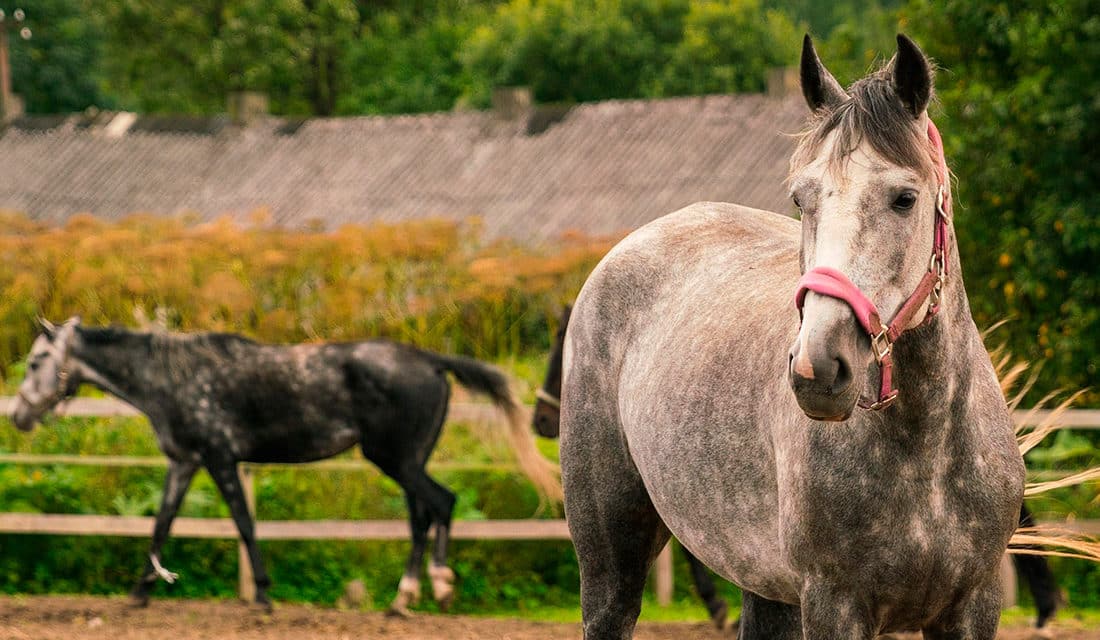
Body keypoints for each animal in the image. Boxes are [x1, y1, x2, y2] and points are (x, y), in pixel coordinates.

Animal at [8, 318, 558, 615]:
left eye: (35, 362)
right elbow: (161, 525)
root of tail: (430, 360)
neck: (173, 379)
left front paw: (264, 597)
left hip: (396, 460)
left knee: (441, 504)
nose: (17, 416)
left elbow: (244, 524)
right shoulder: (185, 463)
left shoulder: (220, 459)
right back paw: (404, 600)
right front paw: (139, 593)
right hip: (404, 463)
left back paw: (435, 591)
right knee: (422, 518)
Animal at [563, 36, 1025, 640]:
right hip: (610, 559)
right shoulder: (833, 602)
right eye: (800, 199)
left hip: (764, 583)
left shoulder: (973, 605)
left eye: (904, 198)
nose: (818, 368)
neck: (928, 452)